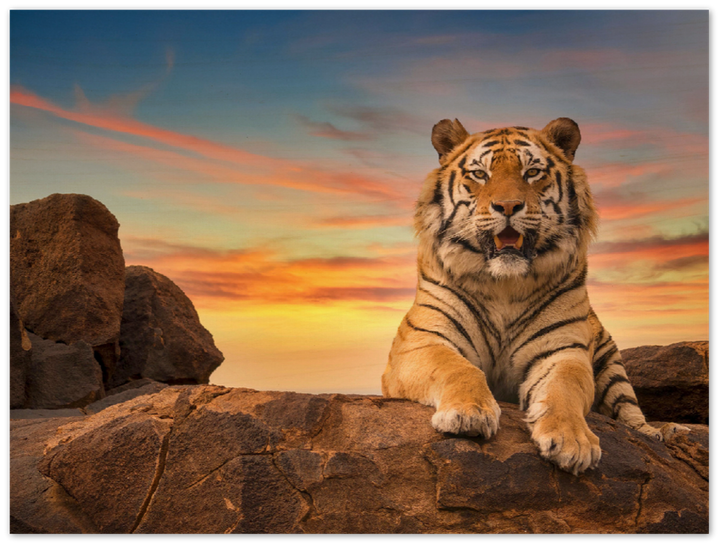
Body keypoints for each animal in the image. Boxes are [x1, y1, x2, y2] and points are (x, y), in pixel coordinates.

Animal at [382, 117, 687, 475]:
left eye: (532, 172)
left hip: (613, 367)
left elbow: (564, 389)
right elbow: (457, 368)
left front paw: (572, 442)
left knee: (631, 414)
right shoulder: (421, 342)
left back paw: (661, 433)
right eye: (480, 174)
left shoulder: (563, 352)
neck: (504, 285)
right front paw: (468, 414)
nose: (508, 206)